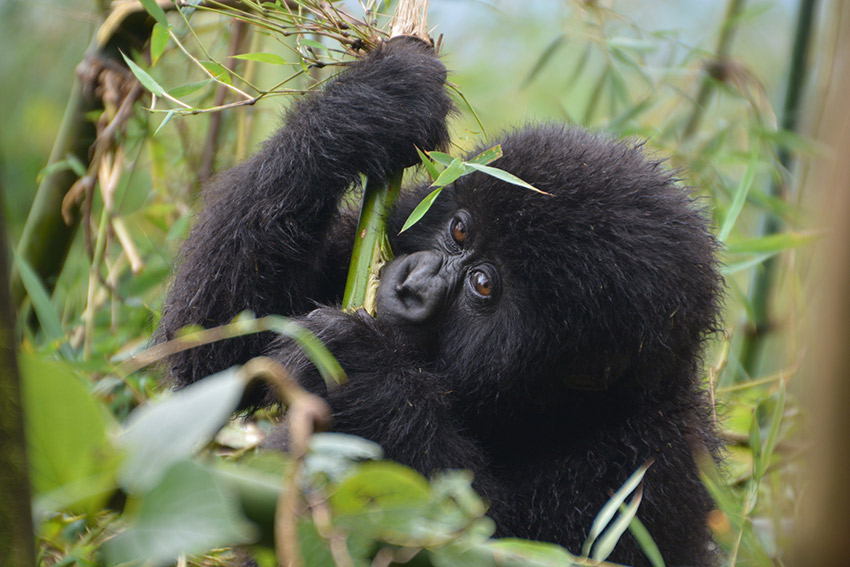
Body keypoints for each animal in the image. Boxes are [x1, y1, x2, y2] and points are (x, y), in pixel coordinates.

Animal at [157, 36, 724, 567]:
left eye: (484, 284)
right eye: (459, 229)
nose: (410, 287)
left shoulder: (650, 467)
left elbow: (481, 537)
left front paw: (360, 371)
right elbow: (211, 356)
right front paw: (368, 106)